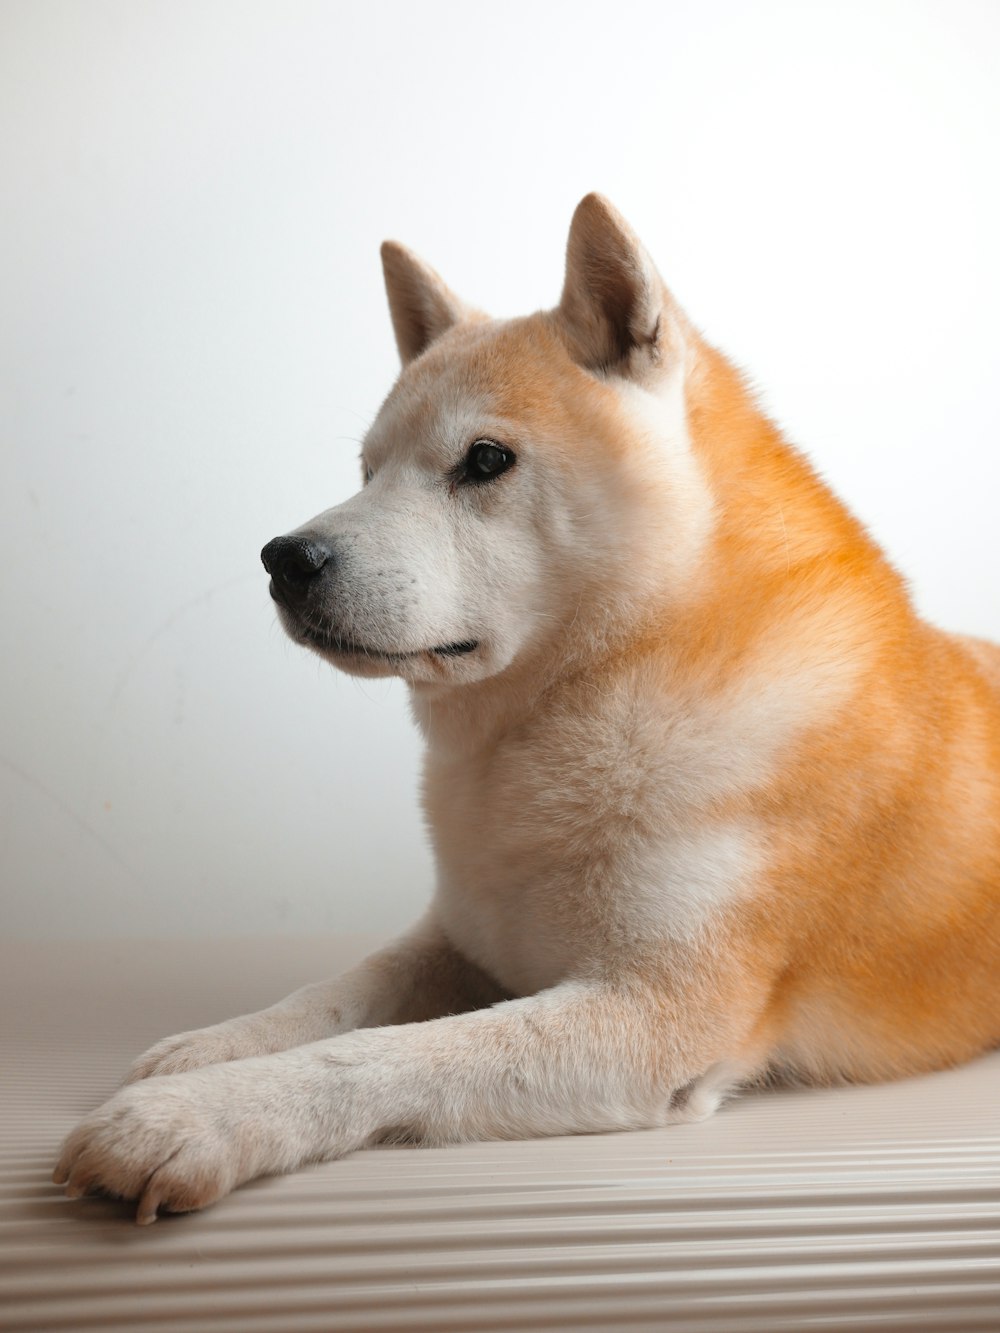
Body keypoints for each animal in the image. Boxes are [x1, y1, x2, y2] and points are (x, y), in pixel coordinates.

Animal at [54, 193, 1000, 1221]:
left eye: (484, 460)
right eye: (367, 470)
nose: (284, 558)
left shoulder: (655, 1011)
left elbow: (381, 1054)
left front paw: (193, 1115)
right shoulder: (460, 931)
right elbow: (336, 994)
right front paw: (213, 1047)